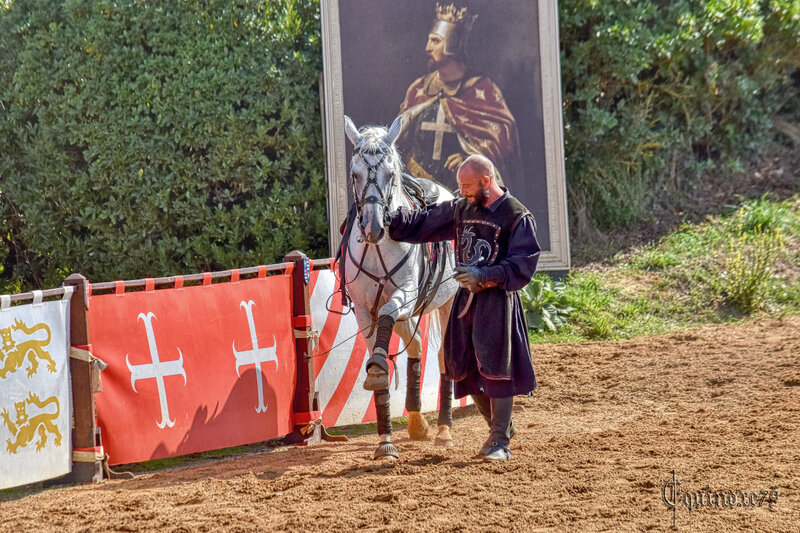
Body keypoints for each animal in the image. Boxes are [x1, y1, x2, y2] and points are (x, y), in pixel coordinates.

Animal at [340, 114, 460, 460]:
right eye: (354, 174)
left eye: (390, 174)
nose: (373, 226)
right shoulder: (365, 311)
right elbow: (377, 362)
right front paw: (385, 442)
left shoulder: (404, 295)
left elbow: (389, 312)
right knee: (417, 344)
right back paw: (418, 421)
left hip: (447, 302)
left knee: (444, 357)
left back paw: (444, 429)